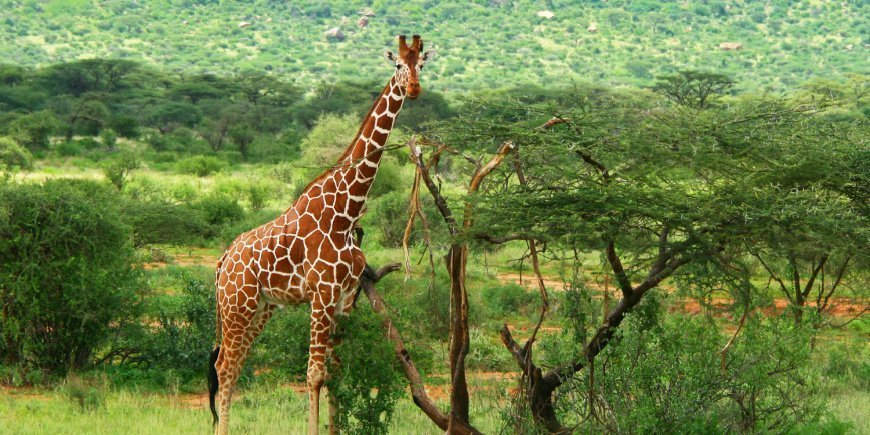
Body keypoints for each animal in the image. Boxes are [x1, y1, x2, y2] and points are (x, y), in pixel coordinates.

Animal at [205, 35, 436, 435]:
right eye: (397, 65)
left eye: (421, 64)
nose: (414, 89)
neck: (345, 211)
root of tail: (222, 261)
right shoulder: (322, 295)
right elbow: (314, 375)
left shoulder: (344, 300)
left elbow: (336, 375)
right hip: (236, 305)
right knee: (225, 367)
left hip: (261, 307)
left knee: (234, 364)